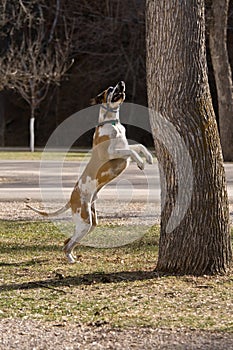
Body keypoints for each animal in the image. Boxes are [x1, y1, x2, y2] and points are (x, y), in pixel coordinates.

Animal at [26, 81, 153, 262]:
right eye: (110, 89)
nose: (121, 83)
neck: (112, 123)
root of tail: (71, 198)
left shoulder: (124, 149)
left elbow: (138, 146)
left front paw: (148, 157)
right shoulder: (112, 153)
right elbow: (131, 151)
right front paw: (141, 162)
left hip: (91, 221)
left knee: (68, 240)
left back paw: (73, 256)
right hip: (85, 221)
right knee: (67, 243)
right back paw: (71, 259)